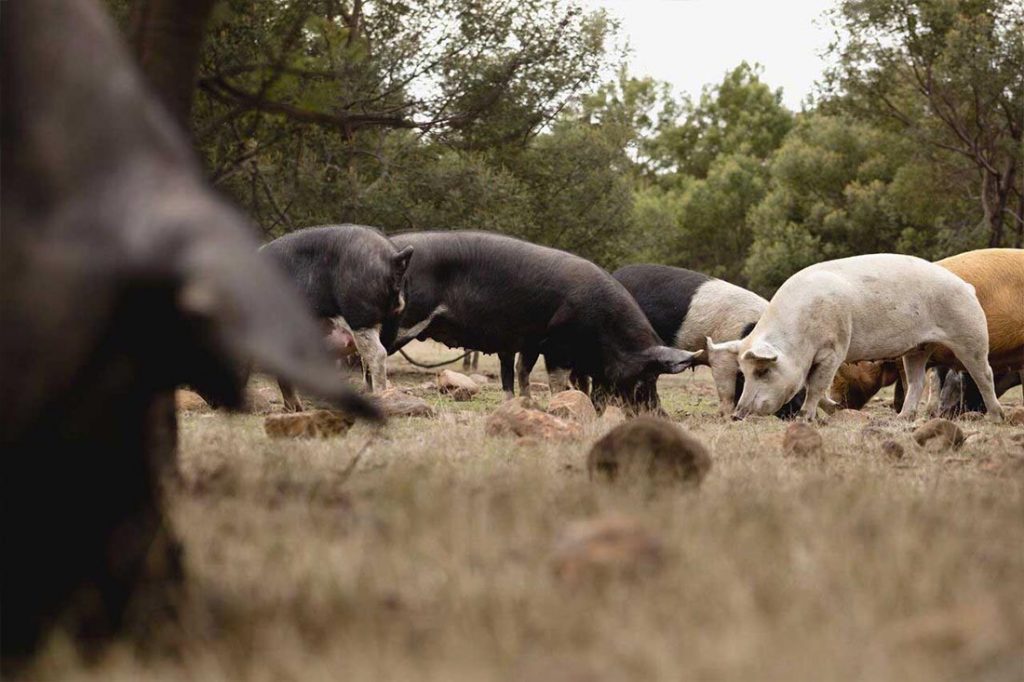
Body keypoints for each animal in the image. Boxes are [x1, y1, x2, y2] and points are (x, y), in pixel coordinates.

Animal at [380, 231, 700, 405]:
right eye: (645, 378)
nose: (659, 413)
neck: (605, 329)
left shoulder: (531, 341)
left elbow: (521, 372)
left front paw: (527, 403)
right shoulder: (558, 345)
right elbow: (556, 379)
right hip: (405, 321)